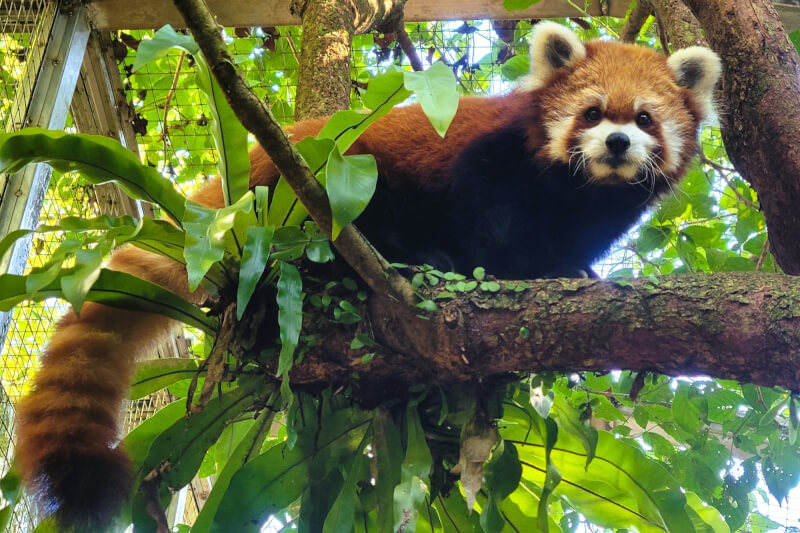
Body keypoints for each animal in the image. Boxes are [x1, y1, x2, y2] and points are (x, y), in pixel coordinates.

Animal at [15, 19, 720, 528]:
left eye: (645, 118)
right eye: (594, 112)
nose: (617, 144)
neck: (579, 193)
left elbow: (563, 250)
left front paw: (570, 272)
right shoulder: (486, 164)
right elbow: (481, 223)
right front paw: (486, 271)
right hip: (309, 197)